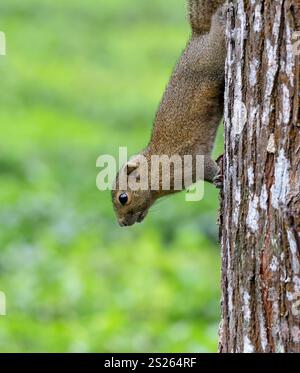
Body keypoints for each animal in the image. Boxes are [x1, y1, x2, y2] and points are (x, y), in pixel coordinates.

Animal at [112, 0, 225, 225]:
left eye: (123, 198)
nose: (122, 224)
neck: (155, 170)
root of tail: (199, 36)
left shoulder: (187, 162)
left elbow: (206, 166)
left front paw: (219, 177)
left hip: (214, 56)